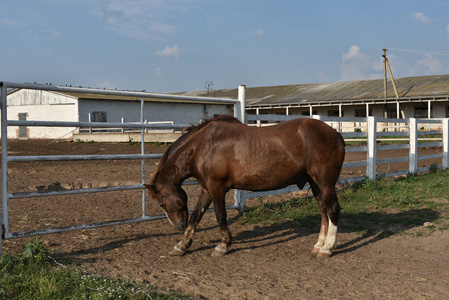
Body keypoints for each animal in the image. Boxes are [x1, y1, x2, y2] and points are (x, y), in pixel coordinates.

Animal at [145, 115, 344, 258]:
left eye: (162, 203)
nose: (178, 226)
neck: (202, 147)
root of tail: (335, 133)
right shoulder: (206, 189)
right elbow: (195, 216)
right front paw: (182, 245)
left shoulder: (217, 188)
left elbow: (220, 216)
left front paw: (223, 245)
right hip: (315, 183)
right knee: (323, 210)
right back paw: (319, 244)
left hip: (325, 183)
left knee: (332, 209)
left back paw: (327, 248)